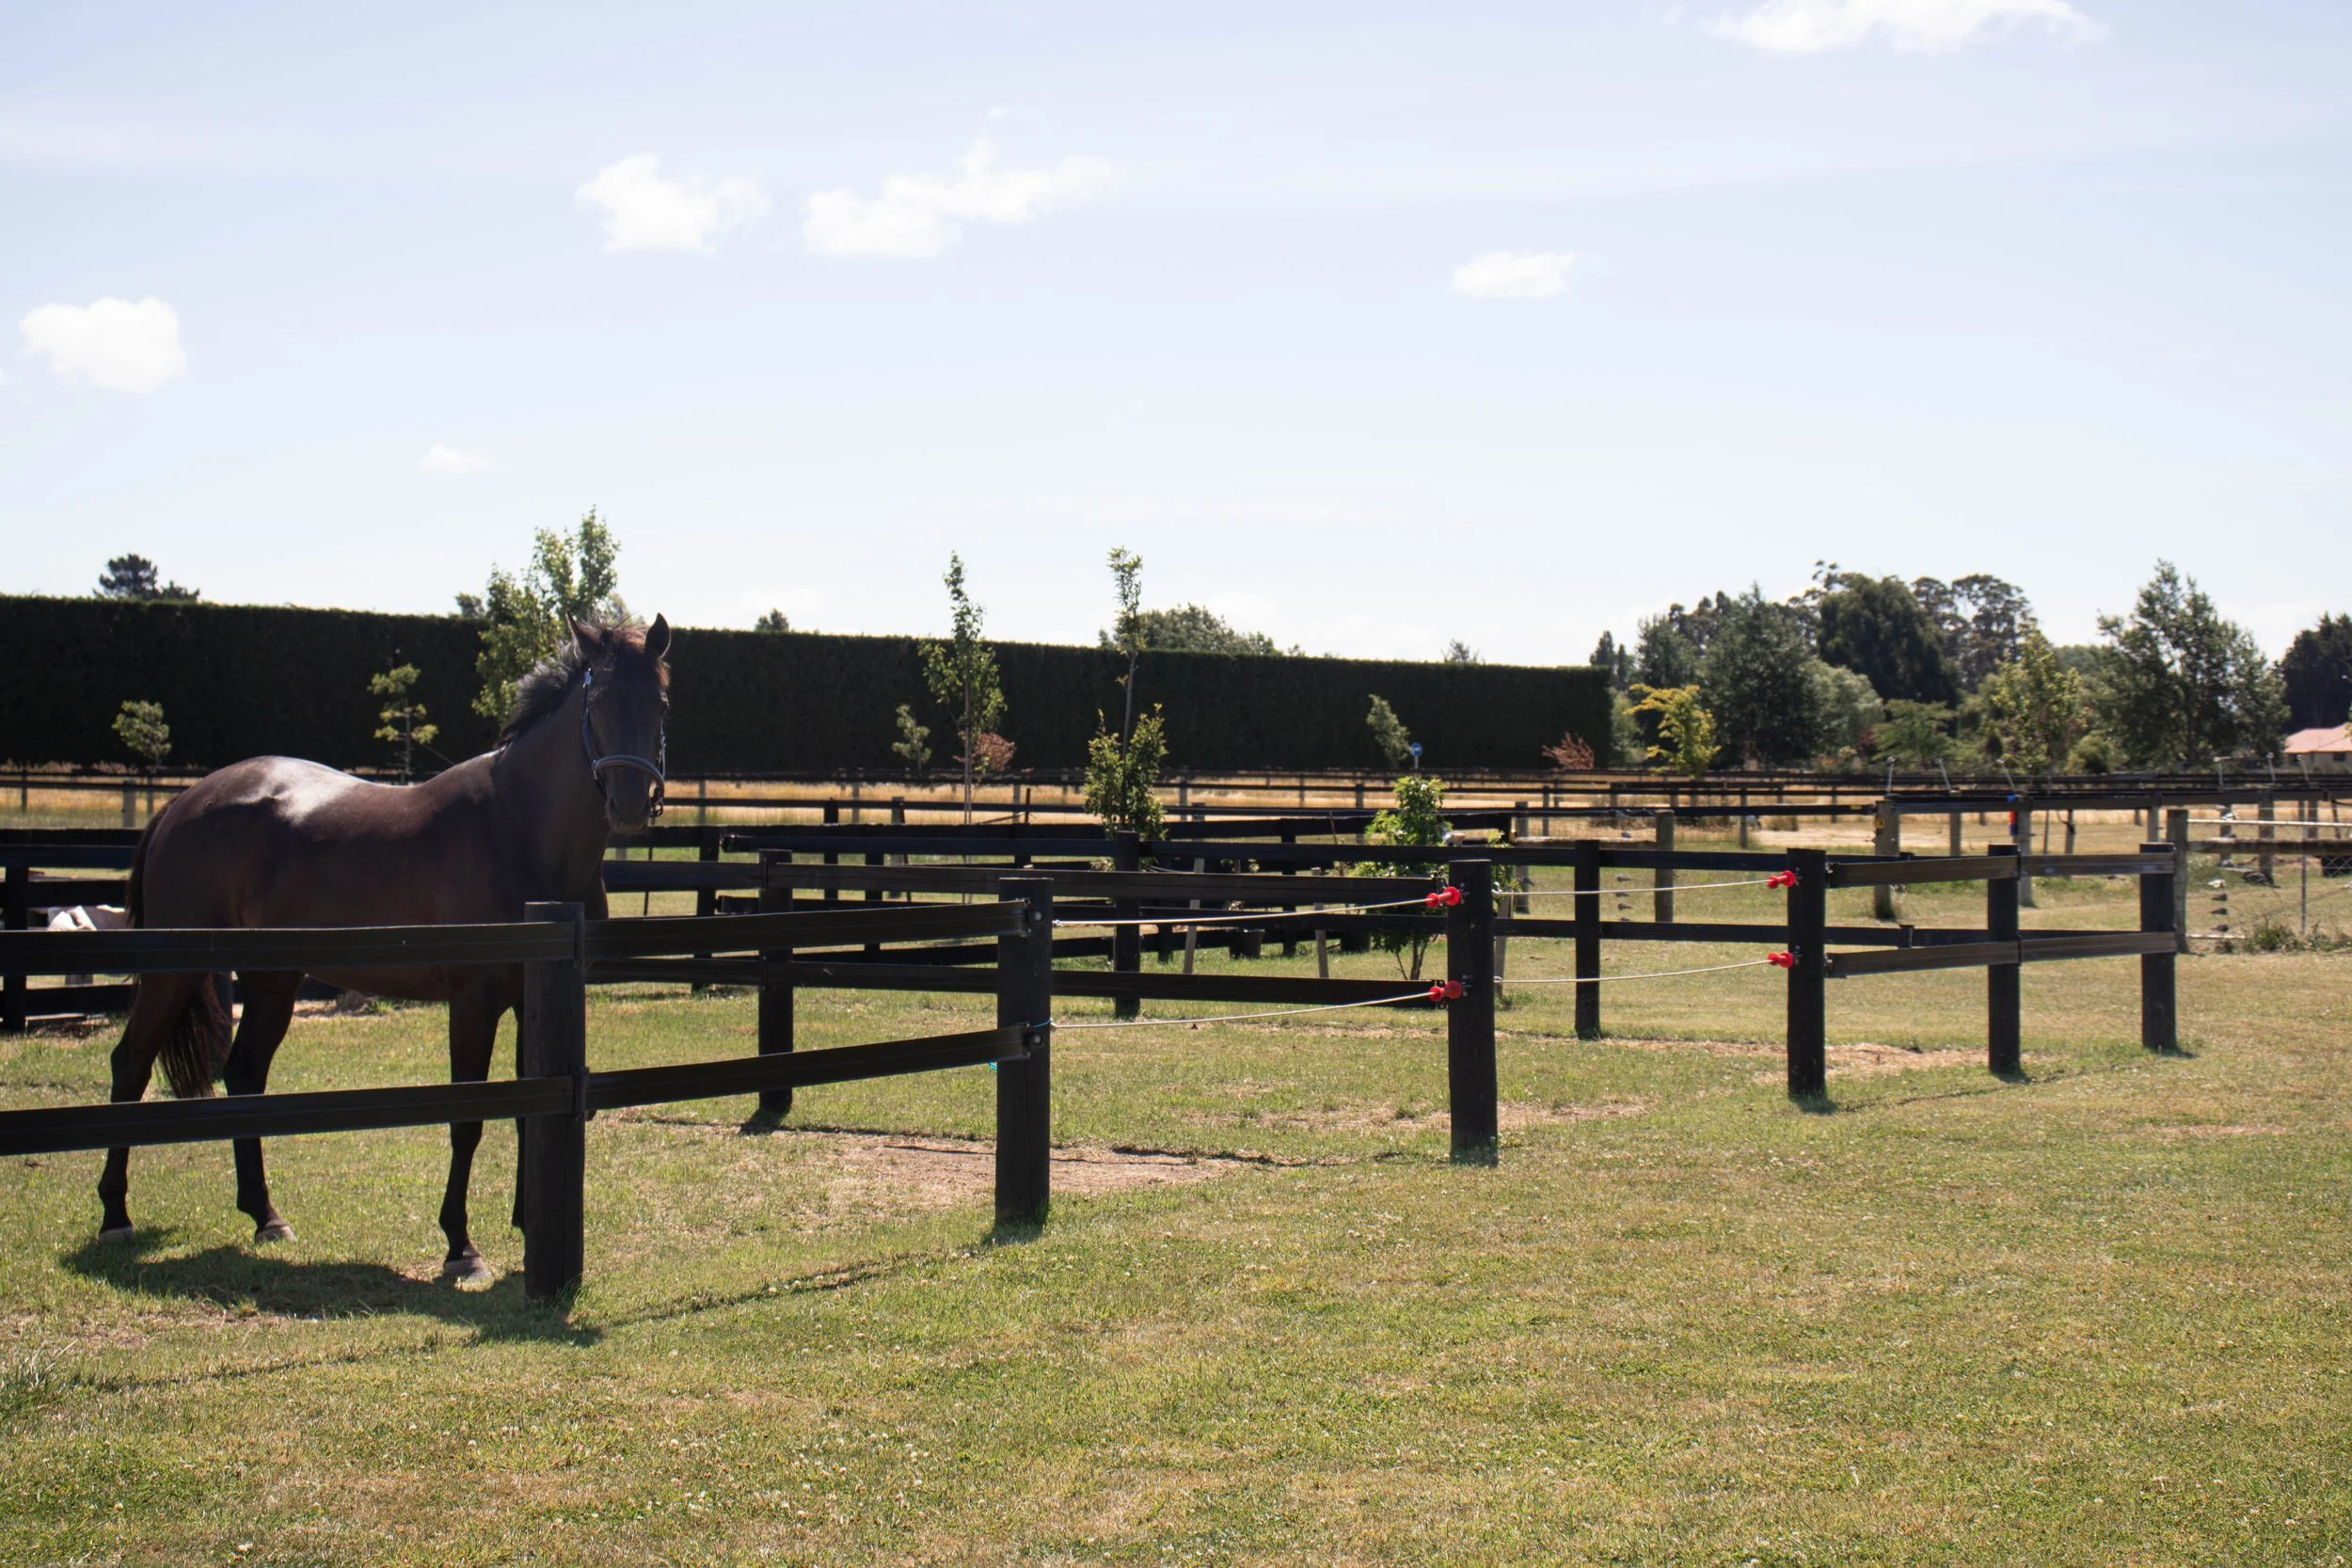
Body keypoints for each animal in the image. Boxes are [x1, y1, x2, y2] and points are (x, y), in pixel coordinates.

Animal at [97, 617, 671, 1286]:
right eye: (597, 703)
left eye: (659, 704)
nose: (630, 804)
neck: (516, 828)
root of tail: (180, 804)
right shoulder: (472, 1003)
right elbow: (468, 1118)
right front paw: (461, 1247)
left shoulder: (536, 1000)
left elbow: (529, 1108)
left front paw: (529, 1224)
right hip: (176, 973)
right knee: (131, 1067)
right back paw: (115, 1216)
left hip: (273, 980)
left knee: (243, 1076)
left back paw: (266, 1217)